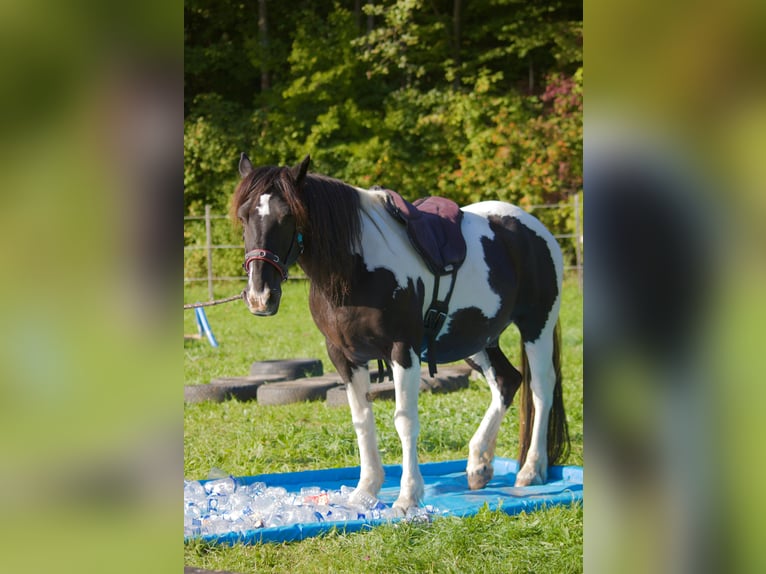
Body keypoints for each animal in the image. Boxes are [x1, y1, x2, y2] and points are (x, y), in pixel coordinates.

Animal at [232, 154, 569, 512]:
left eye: (288, 216)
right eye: (243, 216)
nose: (260, 296)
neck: (356, 269)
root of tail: (535, 229)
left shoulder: (402, 350)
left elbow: (404, 420)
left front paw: (408, 497)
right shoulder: (344, 357)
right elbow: (362, 419)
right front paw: (365, 492)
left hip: (537, 326)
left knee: (541, 387)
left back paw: (531, 470)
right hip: (477, 338)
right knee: (506, 381)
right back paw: (479, 465)